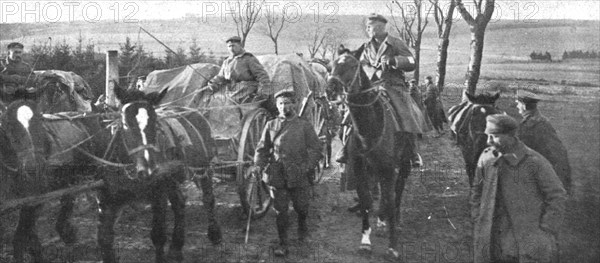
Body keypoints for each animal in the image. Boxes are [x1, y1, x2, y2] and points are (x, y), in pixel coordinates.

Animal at [326, 52, 414, 258]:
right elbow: (366, 199)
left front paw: (393, 246)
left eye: (352, 66)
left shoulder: (389, 169)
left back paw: (394, 221)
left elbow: (390, 199)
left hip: (403, 164)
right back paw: (381, 220)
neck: (370, 127)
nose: (330, 89)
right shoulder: (359, 167)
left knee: (396, 192)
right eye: (331, 65)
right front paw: (365, 240)